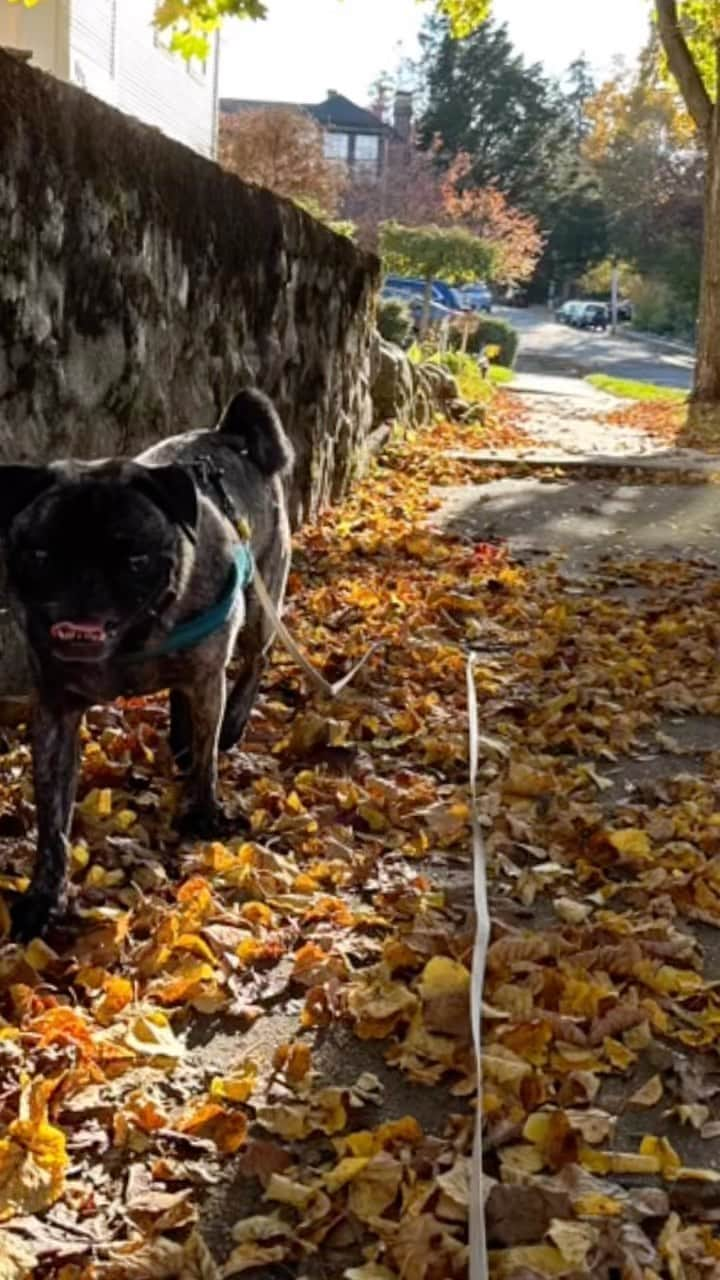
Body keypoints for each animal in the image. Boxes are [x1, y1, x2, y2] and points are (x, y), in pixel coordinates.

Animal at [0, 389, 294, 942]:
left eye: (134, 559)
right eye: (40, 555)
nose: (82, 591)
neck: (131, 644)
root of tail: (230, 435)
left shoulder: (209, 678)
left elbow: (207, 760)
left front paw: (203, 810)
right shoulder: (55, 713)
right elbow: (53, 819)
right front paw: (44, 897)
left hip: (261, 606)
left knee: (253, 664)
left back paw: (232, 724)